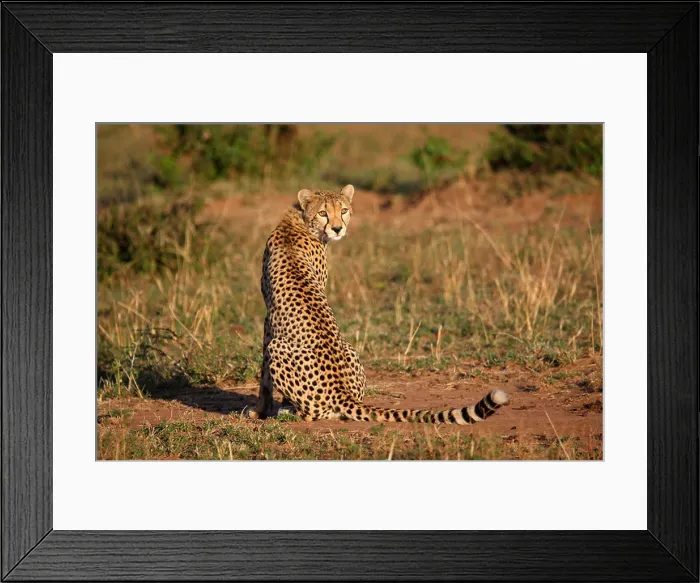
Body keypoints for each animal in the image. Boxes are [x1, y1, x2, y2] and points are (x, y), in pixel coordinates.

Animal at [248, 184, 509, 423]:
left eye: (343, 210)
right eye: (323, 213)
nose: (337, 228)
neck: (298, 222)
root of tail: (343, 393)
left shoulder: (268, 320)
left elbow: (264, 374)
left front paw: (263, 410)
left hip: (280, 349)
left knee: (314, 414)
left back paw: (289, 412)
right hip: (347, 348)